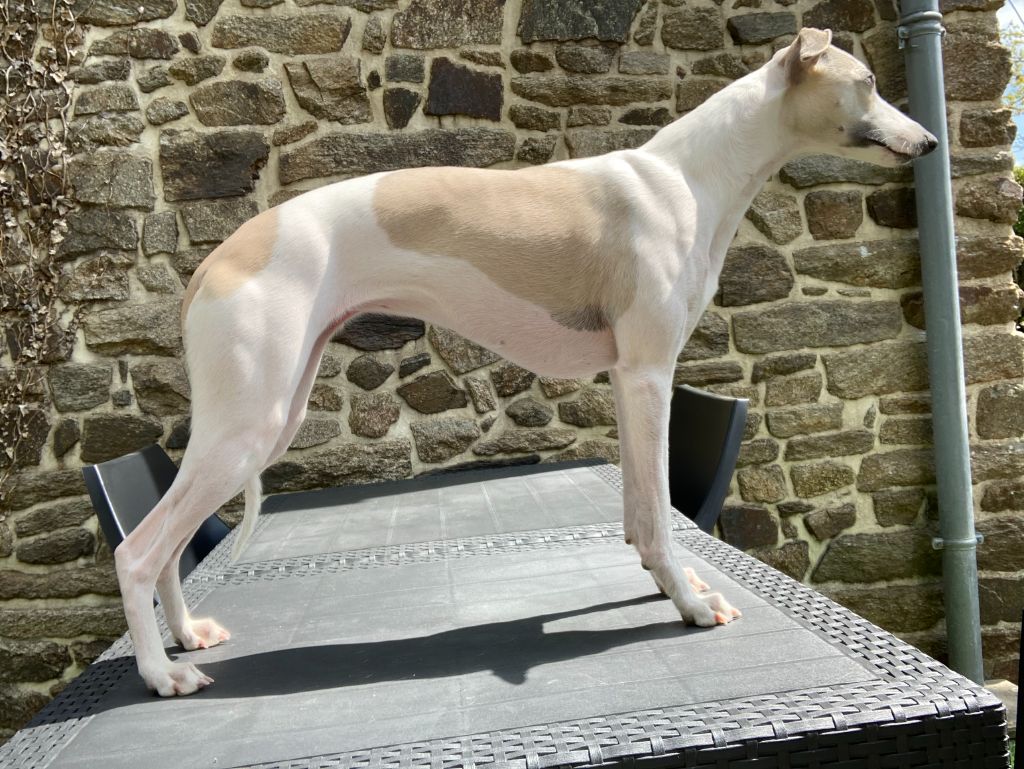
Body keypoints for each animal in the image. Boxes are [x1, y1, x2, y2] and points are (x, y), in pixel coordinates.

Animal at [114, 28, 937, 696]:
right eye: (868, 81)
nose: (930, 142)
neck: (691, 177)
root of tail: (213, 260)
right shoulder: (648, 373)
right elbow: (659, 513)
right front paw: (690, 604)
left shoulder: (627, 379)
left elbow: (640, 512)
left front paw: (668, 586)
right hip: (247, 425)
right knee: (138, 549)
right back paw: (160, 673)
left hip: (267, 418)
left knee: (173, 545)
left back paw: (188, 636)